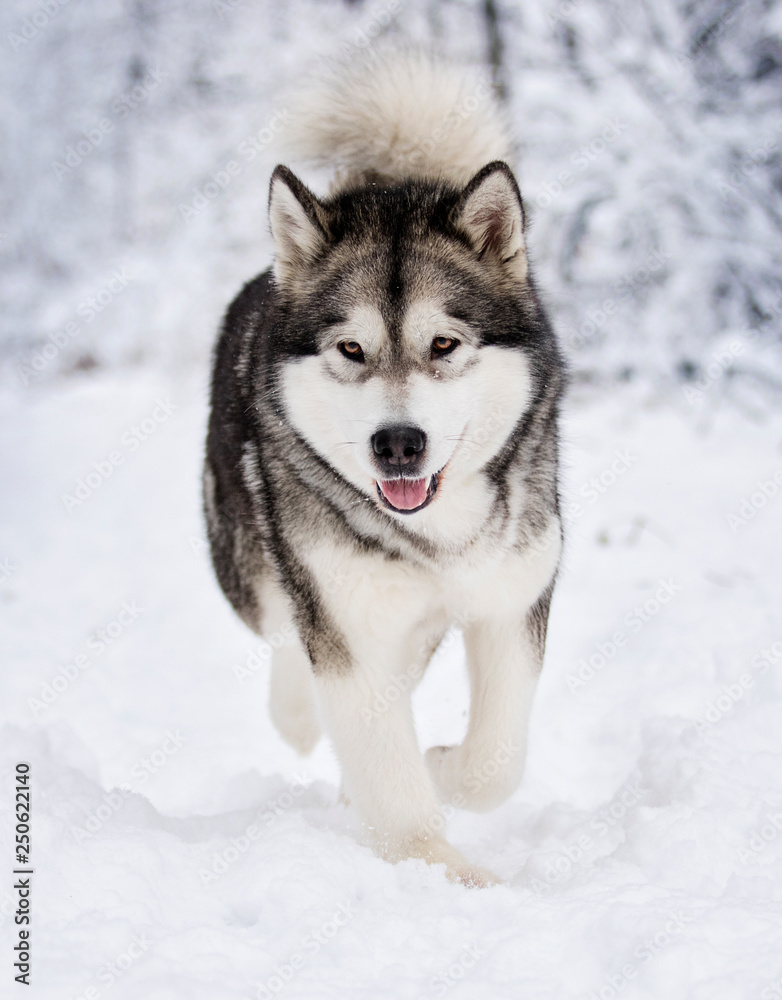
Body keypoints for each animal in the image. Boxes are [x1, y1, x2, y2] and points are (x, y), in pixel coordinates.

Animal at [205, 50, 568, 888]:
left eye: (443, 344)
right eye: (351, 349)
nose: (397, 443)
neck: (438, 535)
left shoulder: (512, 596)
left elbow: (495, 762)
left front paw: (441, 766)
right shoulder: (348, 622)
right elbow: (388, 768)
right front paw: (439, 870)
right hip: (251, 564)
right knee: (286, 639)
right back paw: (300, 715)